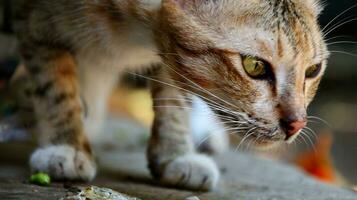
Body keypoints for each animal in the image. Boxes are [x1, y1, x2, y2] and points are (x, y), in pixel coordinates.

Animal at [11, 0, 328, 191]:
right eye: (255, 66)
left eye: (313, 70)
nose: (297, 124)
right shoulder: (35, 22)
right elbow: (55, 88)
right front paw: (66, 145)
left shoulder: (172, 53)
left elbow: (175, 96)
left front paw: (174, 154)